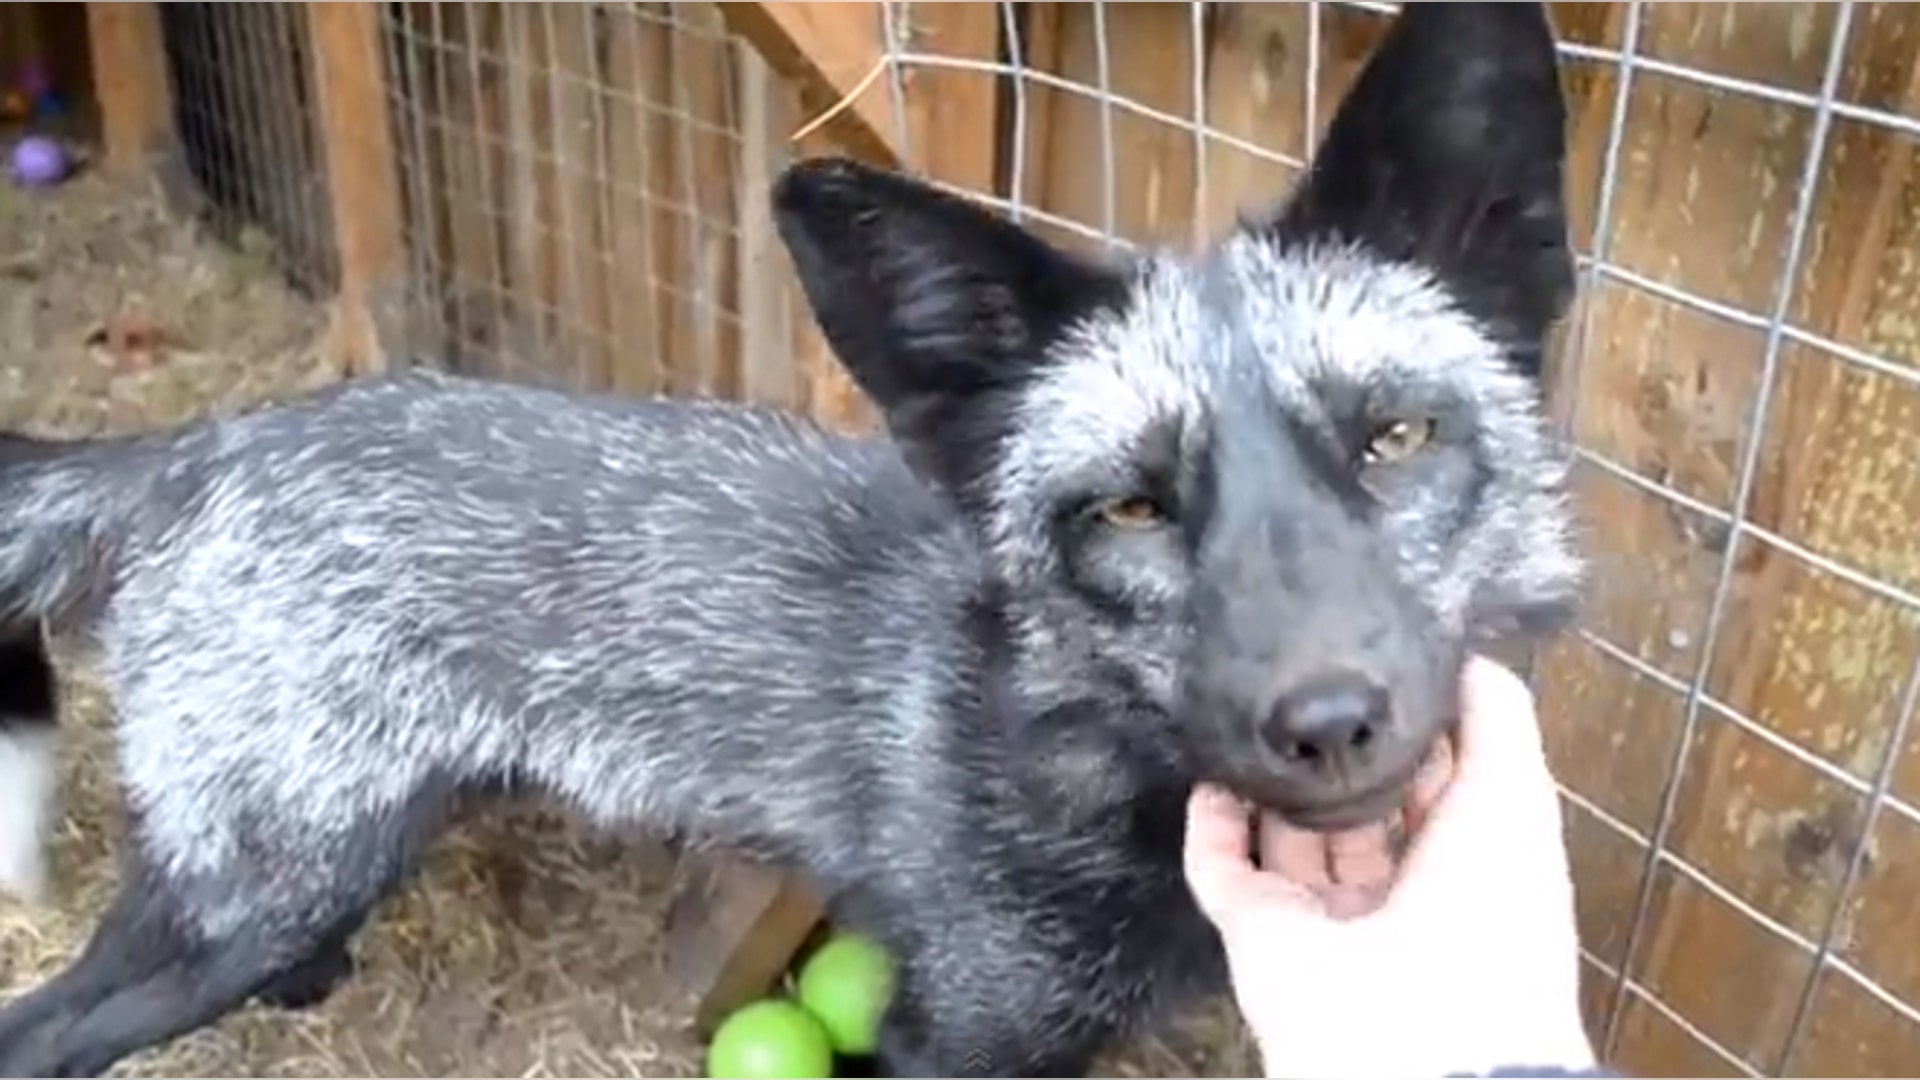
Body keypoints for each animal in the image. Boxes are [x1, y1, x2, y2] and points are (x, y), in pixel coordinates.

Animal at [0, 3, 1581, 1076]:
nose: (1327, 722)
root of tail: (203, 446)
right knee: (45, 1031)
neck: (1080, 763)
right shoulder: (962, 1027)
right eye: (1129, 508)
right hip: (247, 898)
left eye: (1394, 439)